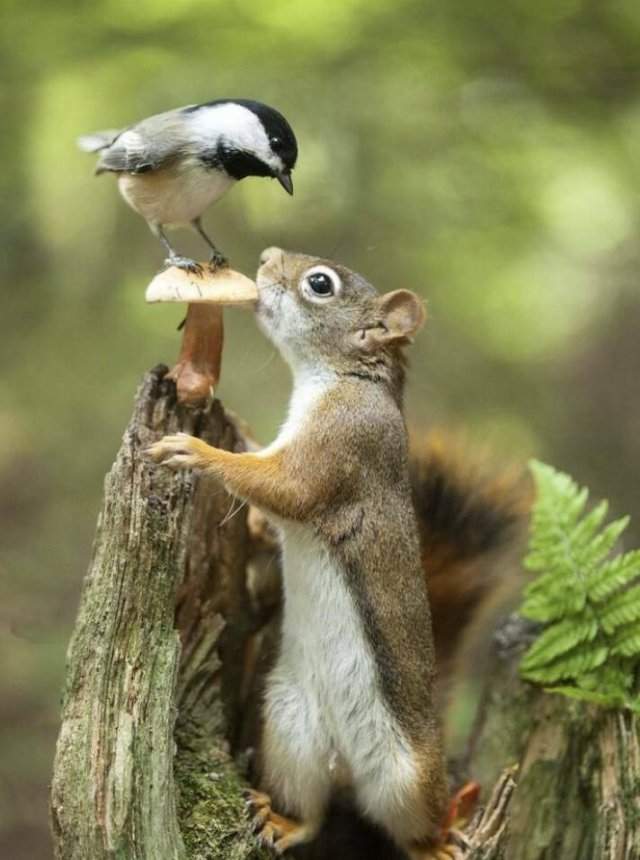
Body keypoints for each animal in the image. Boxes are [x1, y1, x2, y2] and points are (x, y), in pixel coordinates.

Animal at [150, 247, 524, 860]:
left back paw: (439, 841)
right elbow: (266, 501)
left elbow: (284, 489)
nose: (265, 258)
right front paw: (238, 435)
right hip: (289, 730)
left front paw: (197, 449)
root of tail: (346, 764)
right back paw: (281, 820)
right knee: (314, 813)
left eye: (319, 284)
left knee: (410, 827)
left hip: (407, 776)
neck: (341, 378)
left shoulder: (342, 447)